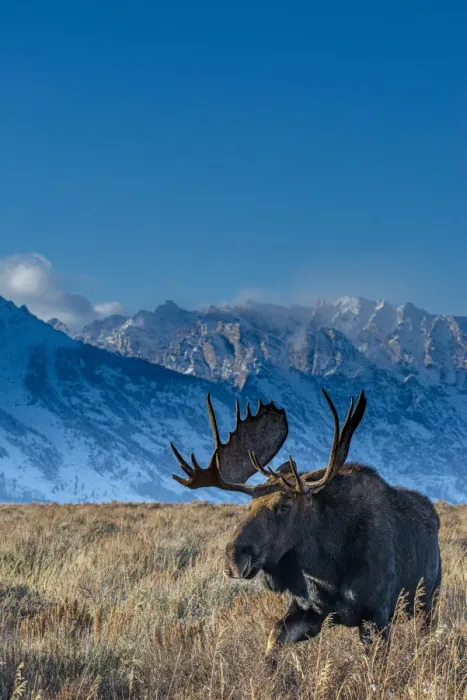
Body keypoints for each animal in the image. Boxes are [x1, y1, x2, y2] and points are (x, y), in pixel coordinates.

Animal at [171, 390, 442, 655]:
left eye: (284, 506)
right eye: (250, 505)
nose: (233, 559)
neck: (328, 566)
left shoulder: (376, 615)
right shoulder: (308, 610)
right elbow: (273, 639)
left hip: (428, 603)